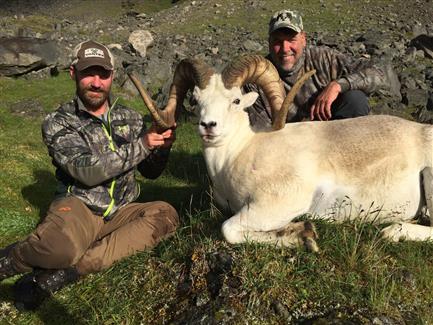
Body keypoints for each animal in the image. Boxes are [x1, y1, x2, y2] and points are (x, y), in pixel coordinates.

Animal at [129, 54, 433, 249]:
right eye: (195, 99)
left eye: (236, 100)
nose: (208, 126)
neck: (239, 156)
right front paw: (300, 233)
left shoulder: (279, 204)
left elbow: (228, 230)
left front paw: (303, 237)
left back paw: (392, 231)